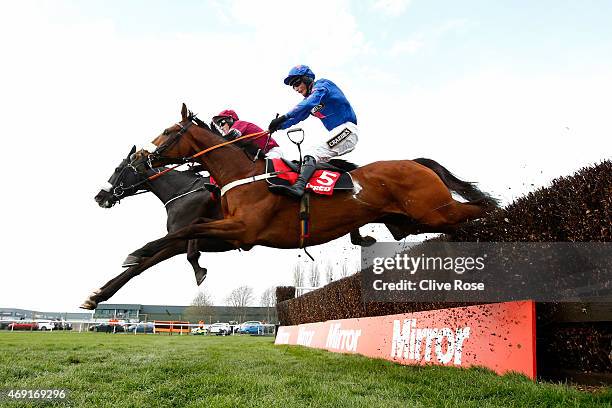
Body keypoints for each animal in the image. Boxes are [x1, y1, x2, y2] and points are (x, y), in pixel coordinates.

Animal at [126, 103, 500, 260]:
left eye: (169, 131)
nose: (145, 157)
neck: (243, 174)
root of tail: (416, 163)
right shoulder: (234, 229)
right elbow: (192, 229)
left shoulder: (244, 229)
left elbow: (189, 228)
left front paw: (141, 249)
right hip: (408, 222)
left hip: (434, 210)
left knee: (480, 208)